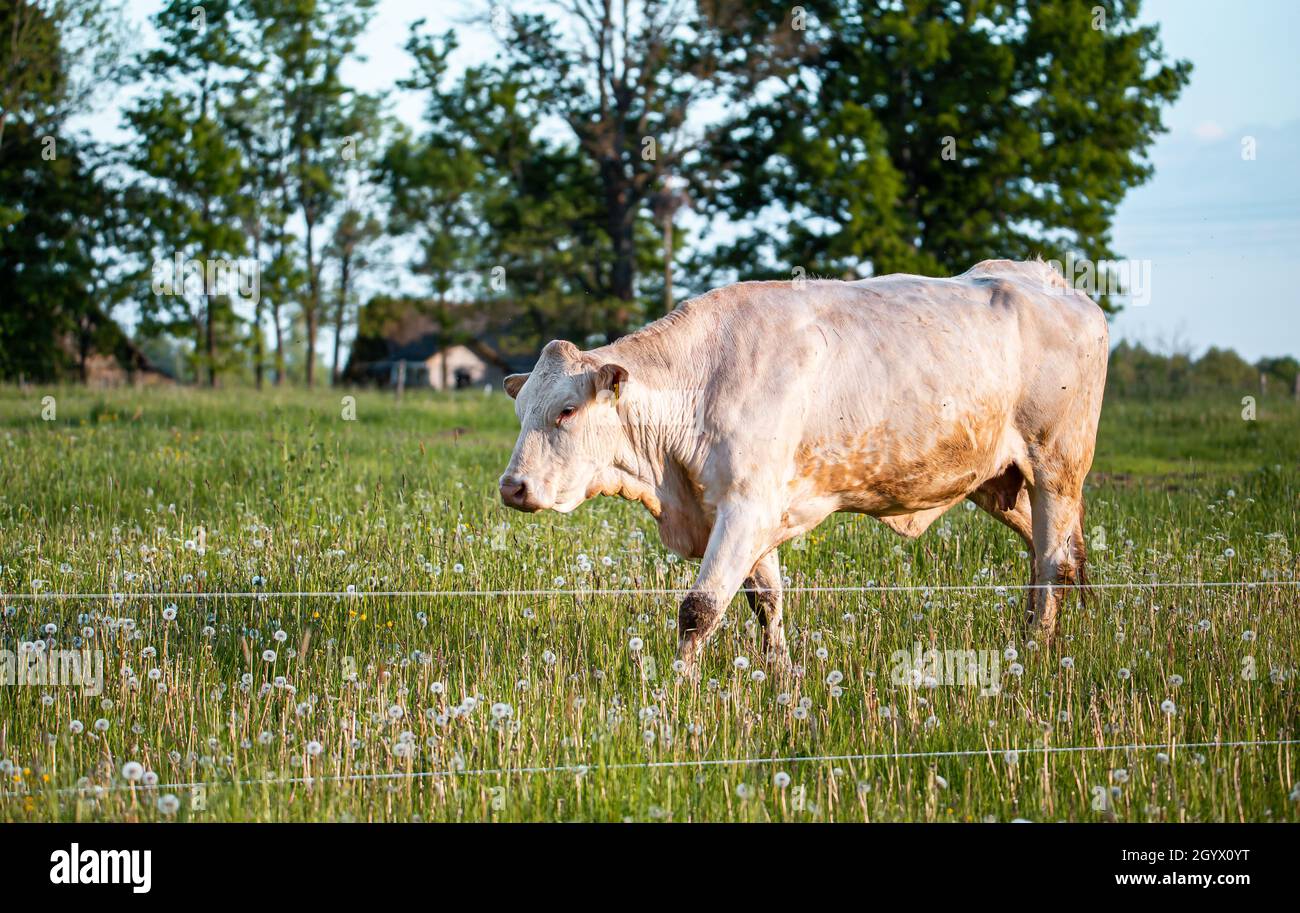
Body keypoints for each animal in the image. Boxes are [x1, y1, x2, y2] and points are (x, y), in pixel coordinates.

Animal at [498, 259, 1109, 675]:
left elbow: (699, 607)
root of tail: (1049, 280)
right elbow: (764, 600)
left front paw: (678, 686)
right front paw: (780, 673)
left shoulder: (747, 507)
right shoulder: (745, 512)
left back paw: (1036, 650)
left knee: (1054, 561)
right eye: (522, 410)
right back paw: (1049, 635)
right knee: (1051, 556)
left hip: (1056, 468)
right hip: (1001, 482)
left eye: (567, 410)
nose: (511, 486)